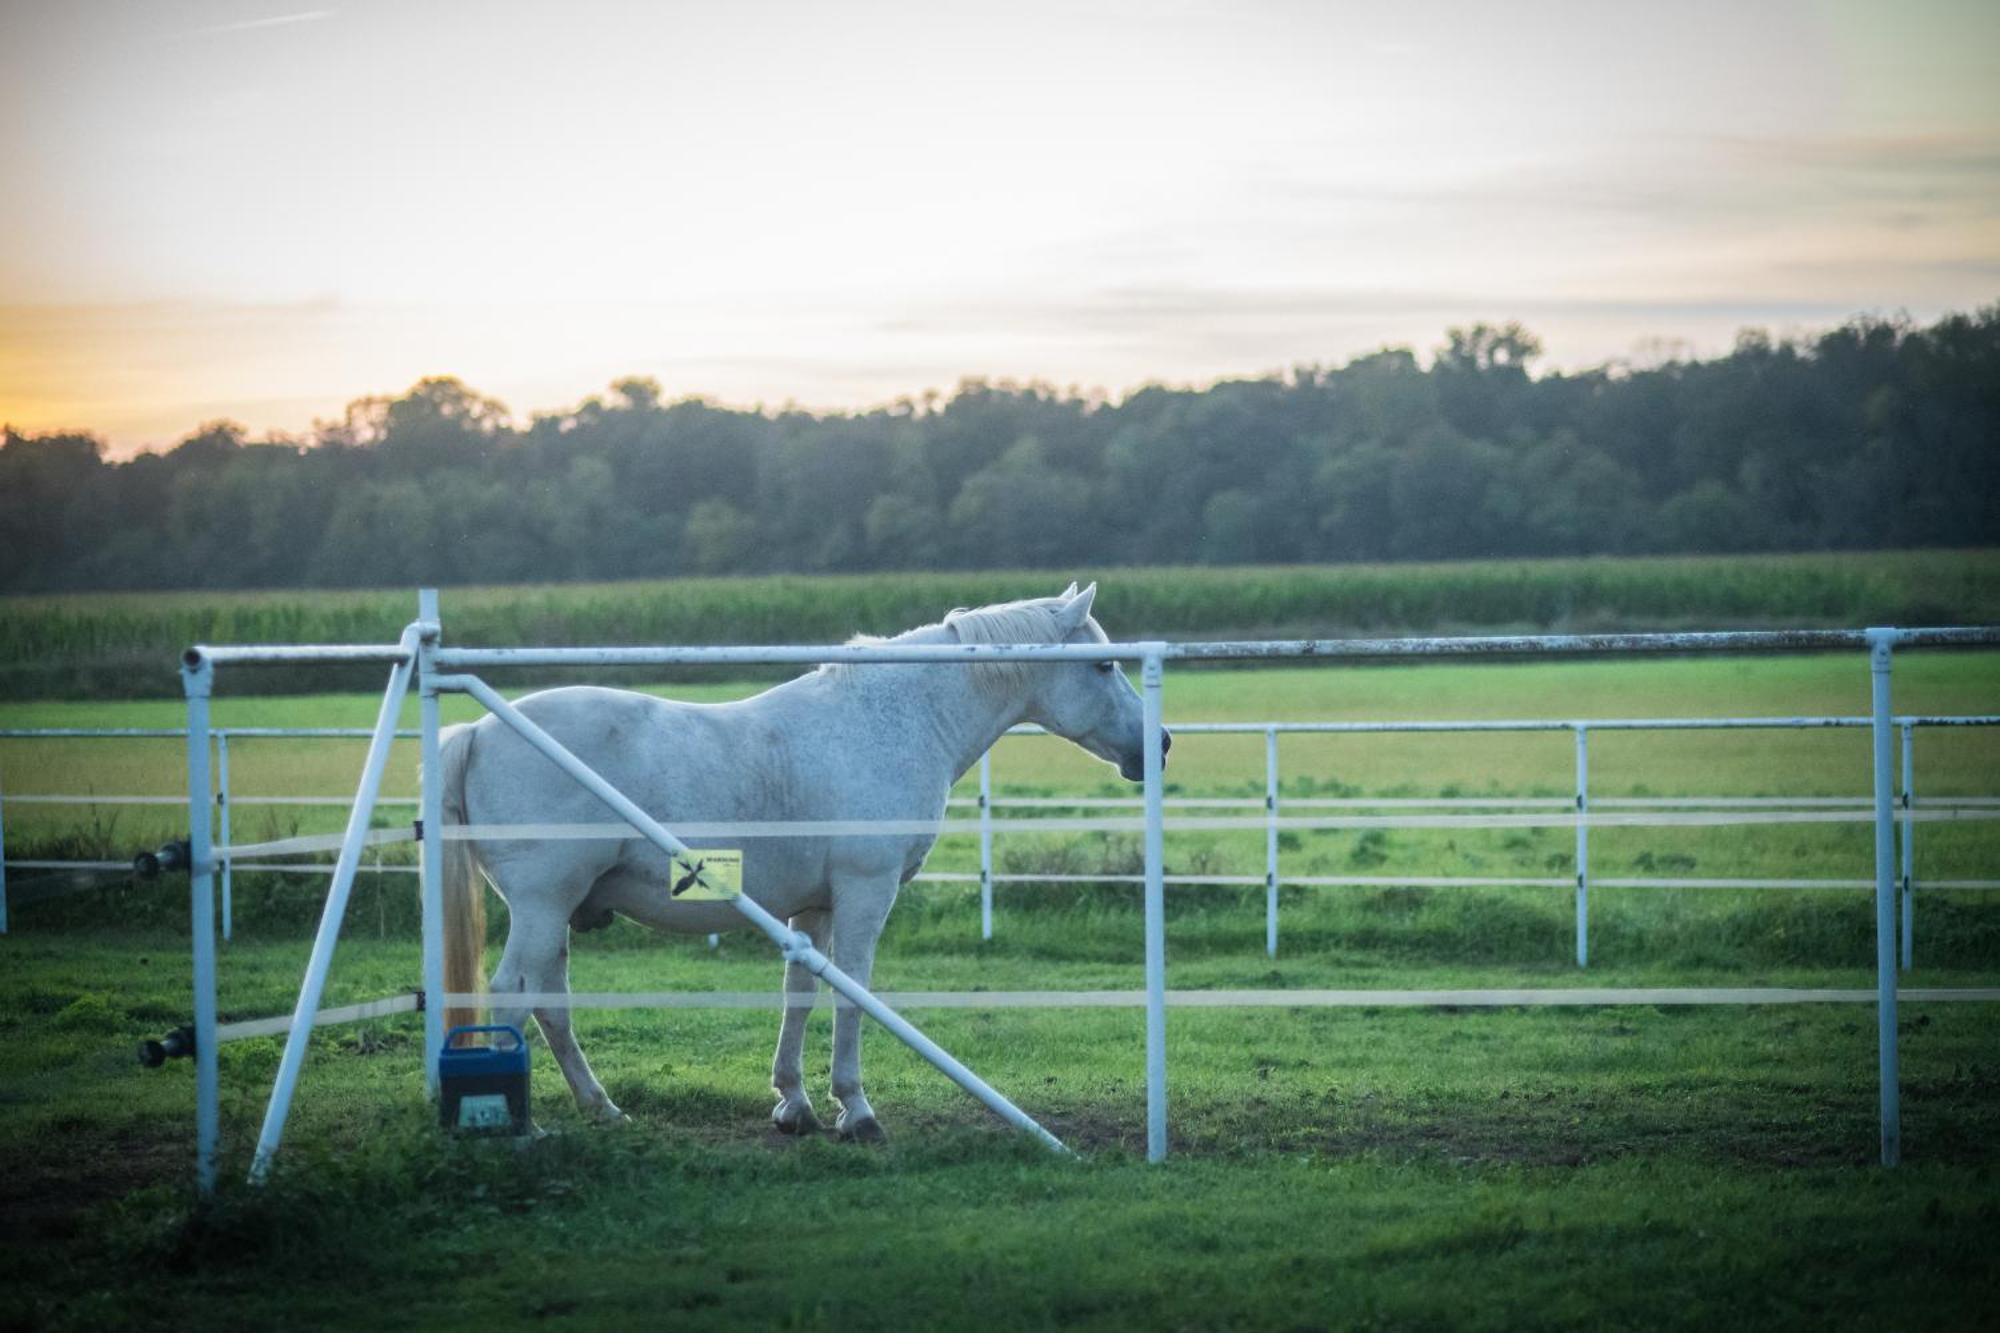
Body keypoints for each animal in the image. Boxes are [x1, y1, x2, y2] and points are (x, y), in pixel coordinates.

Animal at [430, 588, 1168, 1136]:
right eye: (1104, 666)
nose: (1158, 742)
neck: (895, 719)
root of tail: (479, 731)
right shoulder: (866, 892)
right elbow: (852, 992)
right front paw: (857, 1110)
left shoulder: (813, 906)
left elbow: (802, 992)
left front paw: (794, 1103)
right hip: (542, 905)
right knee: (514, 994)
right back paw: (513, 1124)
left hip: (553, 914)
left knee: (551, 1004)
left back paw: (601, 1106)